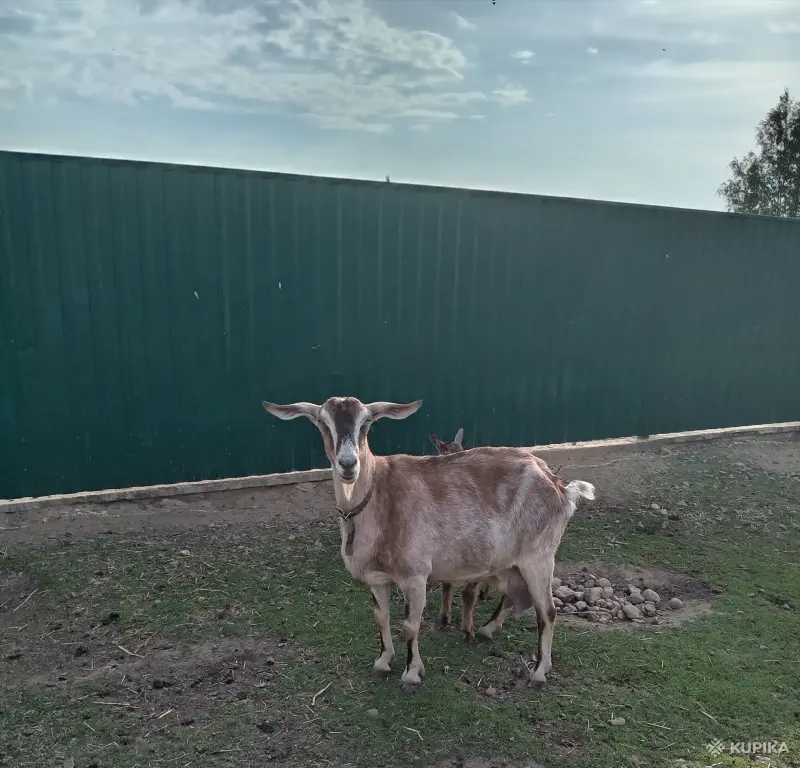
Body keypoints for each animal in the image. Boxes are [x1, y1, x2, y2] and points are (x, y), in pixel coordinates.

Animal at [262, 397, 595, 691]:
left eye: (366, 422)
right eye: (322, 421)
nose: (348, 464)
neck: (378, 498)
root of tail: (560, 485)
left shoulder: (415, 574)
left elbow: (411, 624)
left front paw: (412, 673)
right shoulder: (377, 578)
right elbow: (381, 616)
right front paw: (384, 660)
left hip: (539, 554)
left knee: (546, 611)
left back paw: (539, 672)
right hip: (509, 559)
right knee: (515, 595)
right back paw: (487, 630)